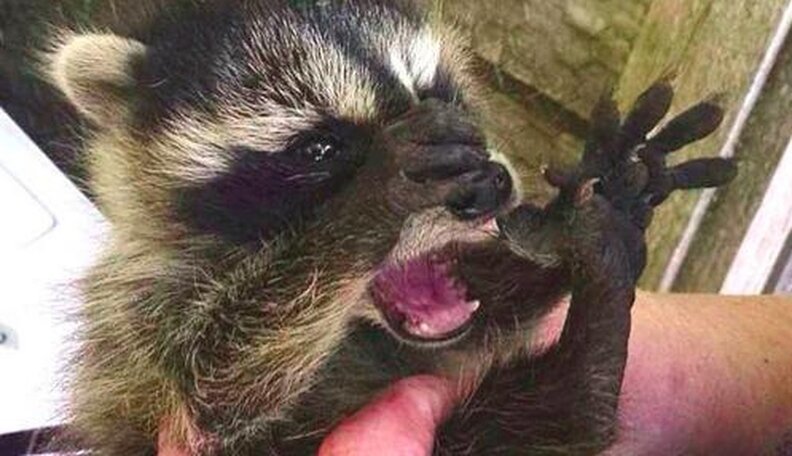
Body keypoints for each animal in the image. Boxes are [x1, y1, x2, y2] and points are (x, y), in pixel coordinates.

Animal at [44, 0, 735, 454]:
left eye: (439, 93)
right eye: (320, 150)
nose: (492, 187)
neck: (354, 327)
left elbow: (498, 301)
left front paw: (580, 210)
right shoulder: (137, 321)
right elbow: (215, 379)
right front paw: (376, 192)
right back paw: (590, 348)